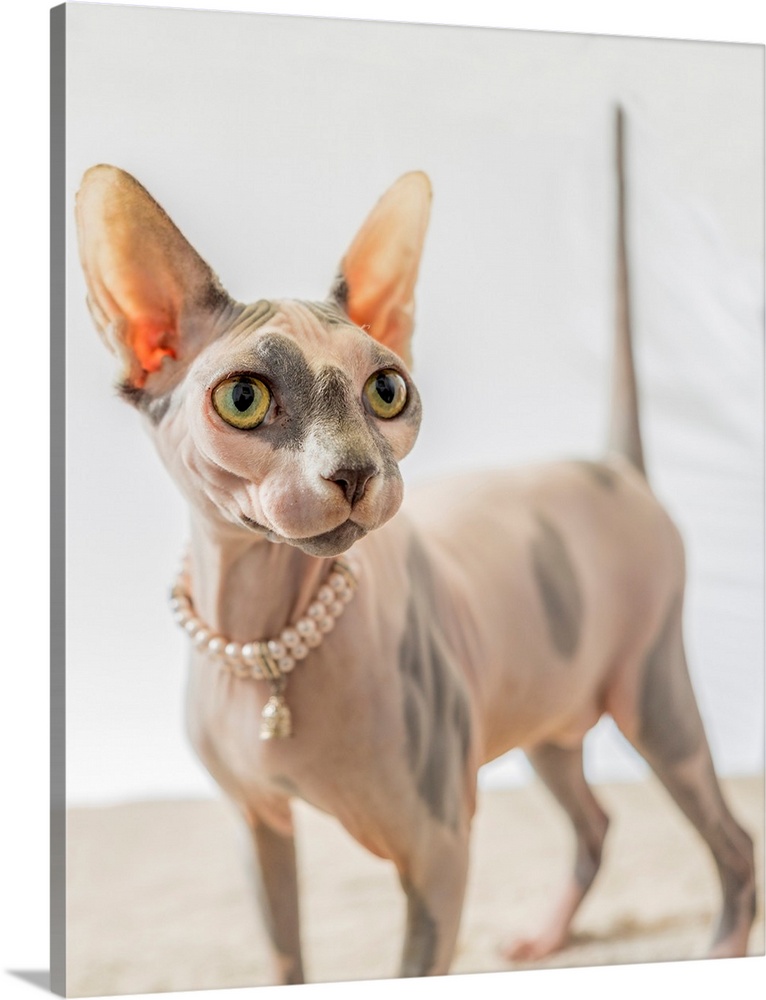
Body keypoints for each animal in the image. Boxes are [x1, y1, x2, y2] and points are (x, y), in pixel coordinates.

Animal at [75, 109, 760, 984]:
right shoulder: (257, 825)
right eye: (243, 399)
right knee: (596, 821)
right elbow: (285, 957)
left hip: (651, 691)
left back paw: (723, 944)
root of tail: (612, 467)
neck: (267, 642)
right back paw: (548, 938)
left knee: (731, 837)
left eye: (387, 390)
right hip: (545, 705)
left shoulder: (436, 850)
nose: (355, 471)